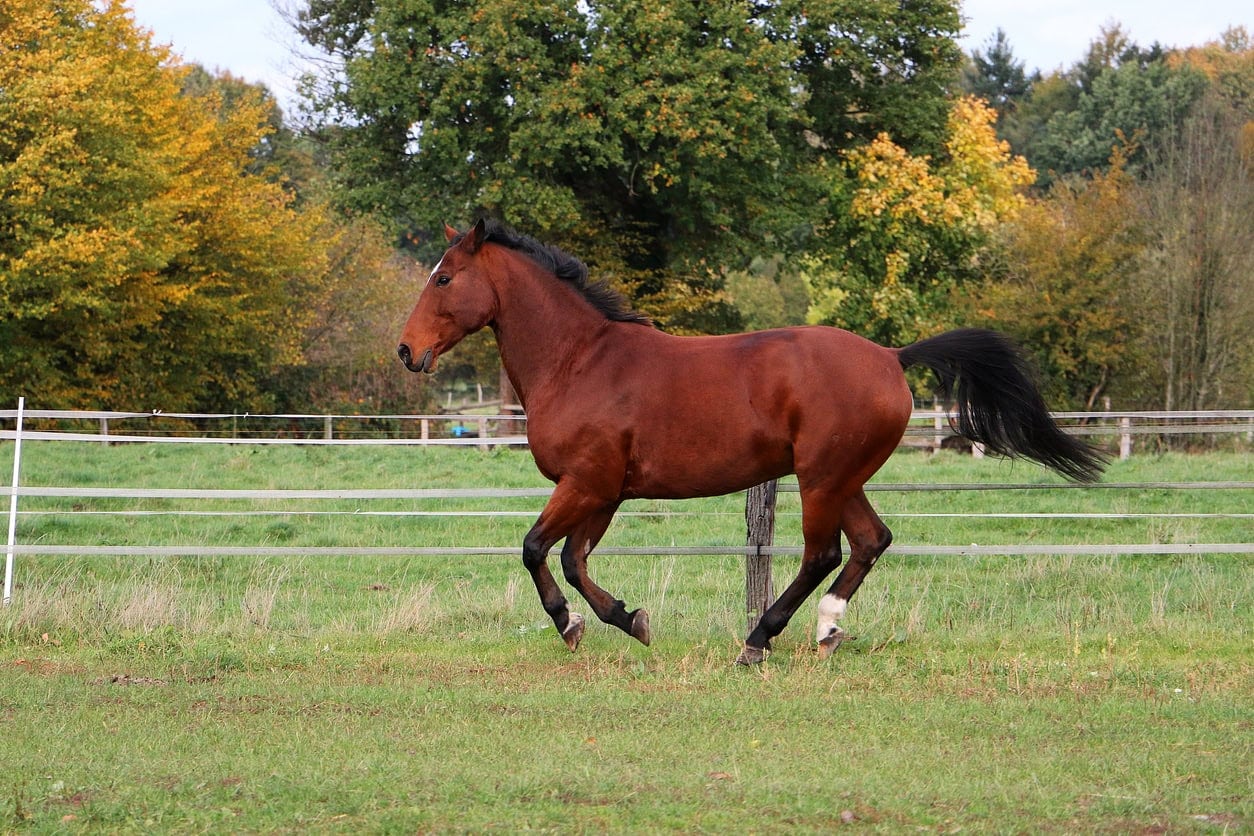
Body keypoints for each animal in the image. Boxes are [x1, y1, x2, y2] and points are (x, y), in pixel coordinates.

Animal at [397, 219, 1106, 664]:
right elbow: (573, 559)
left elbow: (535, 549)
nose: (406, 351)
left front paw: (579, 623)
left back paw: (758, 640)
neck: (579, 361)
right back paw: (827, 629)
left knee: (822, 553)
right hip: (842, 478)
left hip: (819, 478)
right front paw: (620, 619)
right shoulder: (604, 492)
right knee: (869, 542)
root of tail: (890, 356)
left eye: (443, 278)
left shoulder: (587, 483)